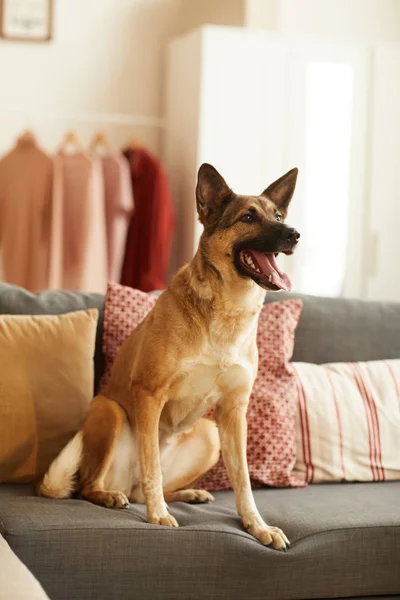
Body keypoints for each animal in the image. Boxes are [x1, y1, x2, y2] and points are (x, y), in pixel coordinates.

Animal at [38, 162, 300, 552]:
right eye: (249, 217)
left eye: (278, 215)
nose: (294, 234)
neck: (228, 311)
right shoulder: (149, 393)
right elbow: (152, 466)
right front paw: (157, 515)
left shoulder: (233, 411)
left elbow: (243, 482)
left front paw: (258, 526)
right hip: (110, 411)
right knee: (91, 485)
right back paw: (112, 496)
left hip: (208, 433)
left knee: (147, 486)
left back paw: (189, 494)